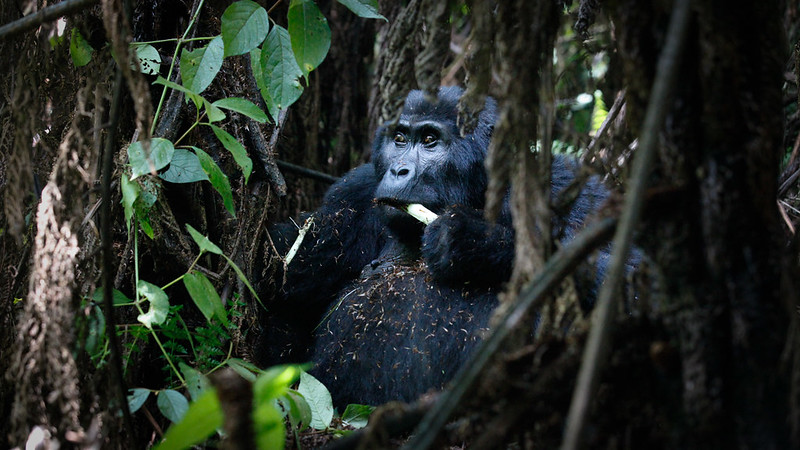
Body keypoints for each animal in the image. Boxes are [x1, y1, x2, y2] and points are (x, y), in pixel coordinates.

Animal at [260, 87, 608, 408]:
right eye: (399, 138)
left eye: (430, 139)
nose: (398, 170)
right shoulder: (352, 193)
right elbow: (282, 275)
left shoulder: (560, 182)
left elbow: (607, 269)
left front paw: (467, 239)